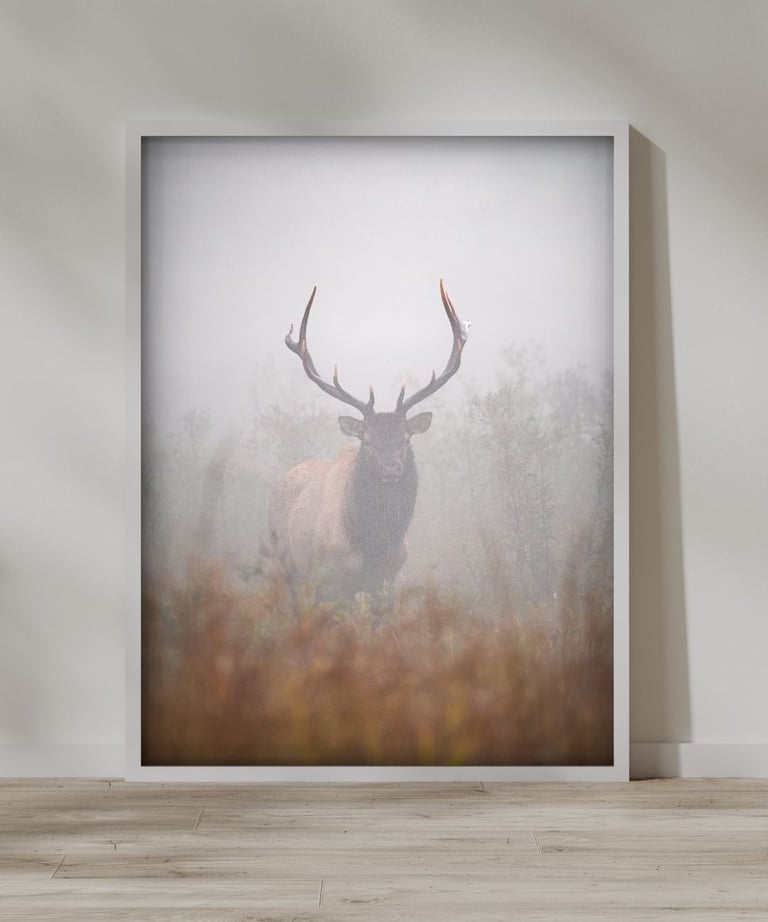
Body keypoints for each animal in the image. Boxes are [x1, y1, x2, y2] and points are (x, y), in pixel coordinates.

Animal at [268, 280, 468, 601]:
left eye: (405, 439)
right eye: (369, 441)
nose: (391, 469)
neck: (373, 547)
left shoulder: (388, 580)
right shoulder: (333, 583)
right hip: (283, 565)